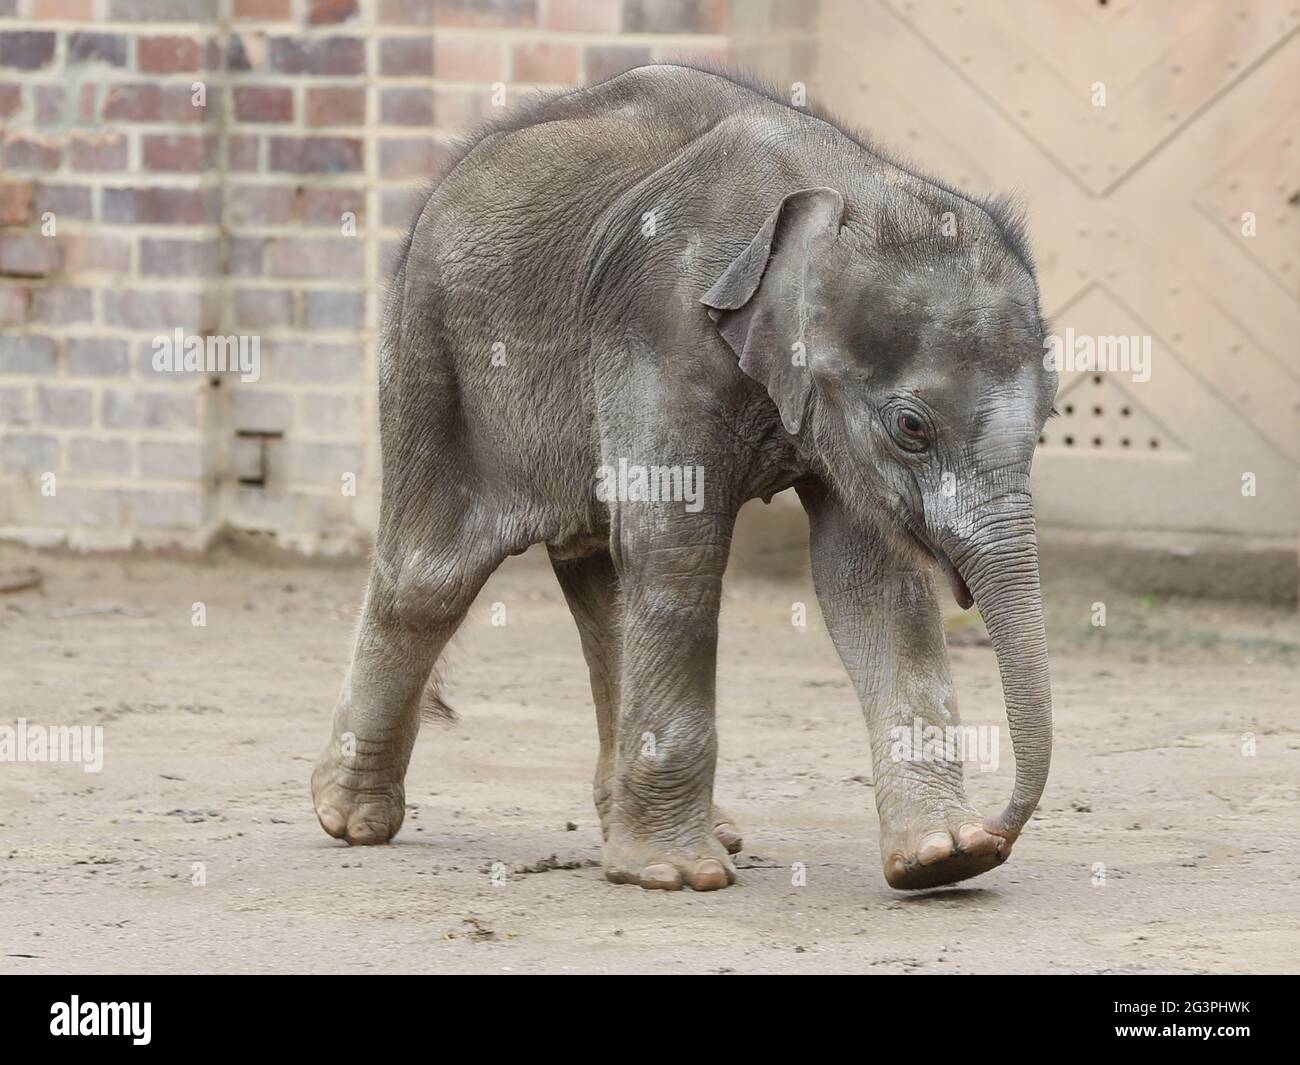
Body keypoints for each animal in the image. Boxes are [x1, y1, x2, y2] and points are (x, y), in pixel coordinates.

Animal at [312, 64, 1055, 889]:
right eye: (913, 427)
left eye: (1049, 417)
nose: (1000, 831)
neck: (845, 190)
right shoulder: (660, 321)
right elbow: (680, 546)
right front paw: (676, 875)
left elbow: (869, 577)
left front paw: (941, 859)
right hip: (432, 348)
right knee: (431, 576)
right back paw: (352, 818)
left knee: (601, 576)